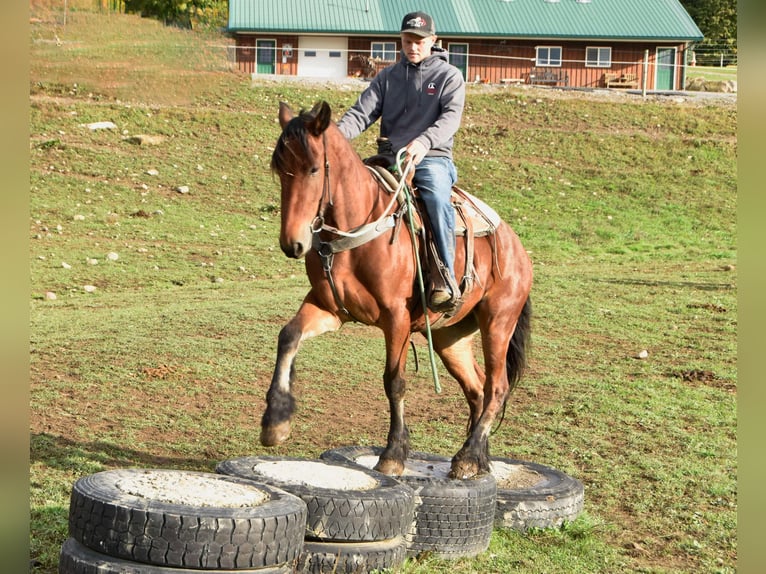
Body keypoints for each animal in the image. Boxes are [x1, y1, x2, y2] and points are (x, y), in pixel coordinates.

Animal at [261, 100, 533, 480]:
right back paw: (477, 458)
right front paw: (276, 421)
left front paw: (393, 454)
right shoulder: (329, 309)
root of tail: (516, 247)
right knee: (477, 388)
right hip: (451, 337)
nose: (293, 243)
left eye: (314, 169)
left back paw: (467, 457)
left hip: (498, 322)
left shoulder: (397, 319)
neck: (357, 230)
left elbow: (395, 381)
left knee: (497, 387)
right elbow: (288, 336)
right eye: (279, 169)